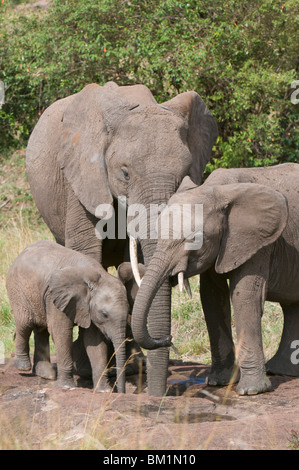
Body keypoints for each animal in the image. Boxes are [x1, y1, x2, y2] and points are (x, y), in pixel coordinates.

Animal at [6, 241, 130, 392]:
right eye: (104, 314)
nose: (121, 392)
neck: (96, 277)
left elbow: (94, 340)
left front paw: (103, 391)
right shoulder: (56, 297)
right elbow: (61, 332)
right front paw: (66, 386)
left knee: (41, 329)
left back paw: (46, 375)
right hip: (17, 290)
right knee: (25, 324)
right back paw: (23, 367)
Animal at [25, 81, 218, 396]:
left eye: (184, 176)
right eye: (125, 173)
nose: (167, 340)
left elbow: (137, 268)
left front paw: (136, 367)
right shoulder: (82, 176)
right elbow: (85, 251)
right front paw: (87, 368)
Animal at [132, 163, 299, 394]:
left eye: (193, 239)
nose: (167, 339)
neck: (217, 190)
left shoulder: (259, 241)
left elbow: (243, 296)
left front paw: (251, 390)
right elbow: (211, 297)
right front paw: (219, 382)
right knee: (291, 306)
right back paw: (281, 371)